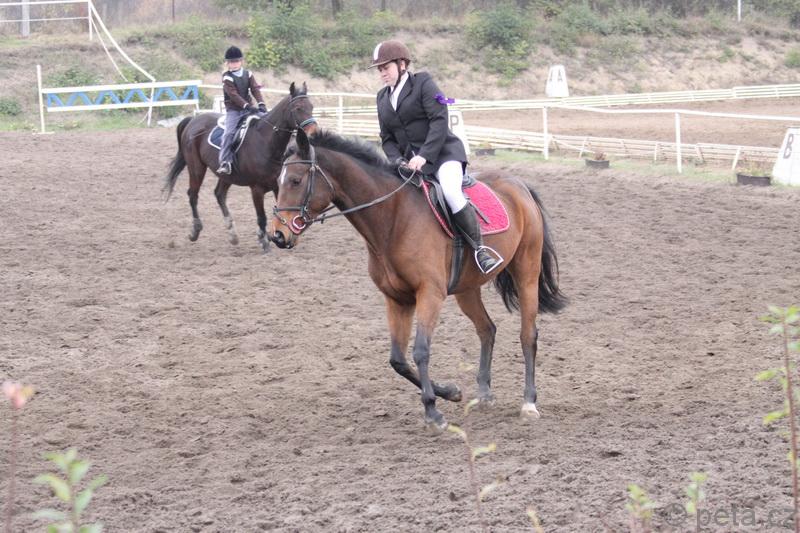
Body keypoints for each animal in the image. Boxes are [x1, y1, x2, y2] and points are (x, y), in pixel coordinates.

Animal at [163, 82, 316, 252]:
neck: (266, 142)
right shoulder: (257, 189)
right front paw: (264, 241)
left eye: (311, 107)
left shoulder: (280, 186)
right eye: (297, 108)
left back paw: (232, 234)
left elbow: (286, 211)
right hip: (196, 168)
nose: (313, 132)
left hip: (226, 176)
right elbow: (262, 217)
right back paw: (195, 231)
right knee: (193, 195)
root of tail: (193, 120)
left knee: (219, 194)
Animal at [269, 129, 567, 430]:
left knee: (528, 335)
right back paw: (484, 393)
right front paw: (449, 392)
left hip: (526, 272)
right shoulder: (397, 299)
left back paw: (529, 403)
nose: (277, 235)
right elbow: (398, 360)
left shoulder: (429, 294)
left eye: (295, 180)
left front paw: (433, 412)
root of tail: (518, 184)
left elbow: (421, 351)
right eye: (278, 181)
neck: (393, 218)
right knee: (487, 329)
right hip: (467, 289)